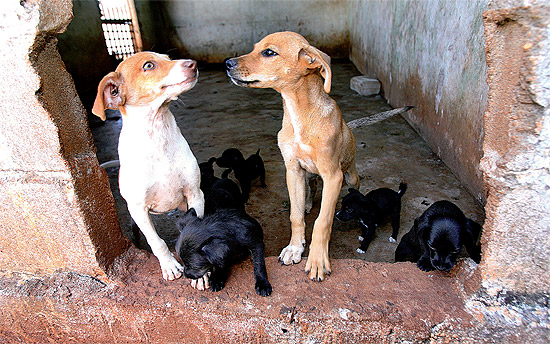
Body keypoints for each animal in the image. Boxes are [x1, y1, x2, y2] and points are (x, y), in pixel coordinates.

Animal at [92, 51, 207, 284]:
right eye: (148, 65)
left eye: (168, 57)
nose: (193, 64)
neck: (158, 135)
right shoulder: (138, 208)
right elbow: (156, 241)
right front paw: (169, 265)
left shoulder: (195, 194)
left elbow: (195, 230)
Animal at [225, 30, 362, 280]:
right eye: (255, 47)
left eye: (269, 52)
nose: (227, 63)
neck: (300, 114)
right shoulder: (293, 170)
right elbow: (295, 216)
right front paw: (295, 248)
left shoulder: (333, 176)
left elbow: (322, 221)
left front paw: (317, 260)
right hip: (307, 175)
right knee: (312, 188)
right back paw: (307, 203)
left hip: (349, 175)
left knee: (353, 186)